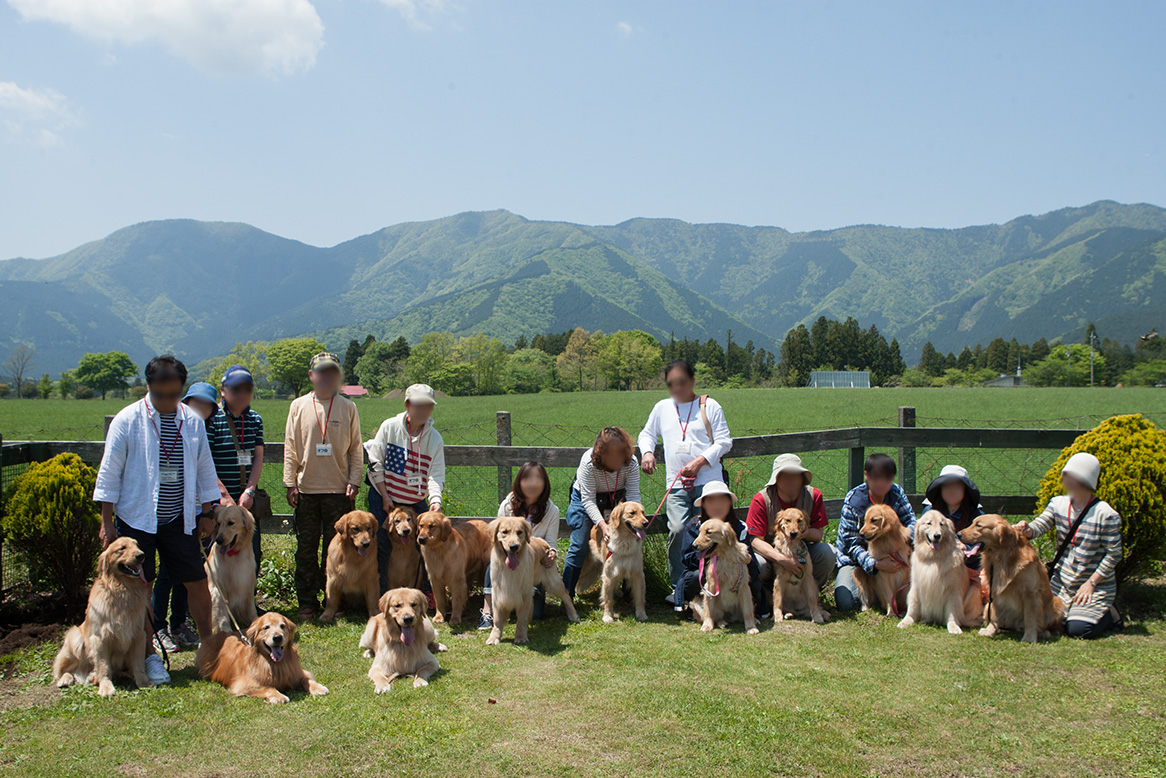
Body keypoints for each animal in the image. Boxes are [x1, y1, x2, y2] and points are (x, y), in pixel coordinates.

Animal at [54, 538, 152, 695]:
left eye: (137, 545)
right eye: (122, 548)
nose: (141, 555)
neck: (123, 590)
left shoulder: (138, 635)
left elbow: (138, 663)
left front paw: (143, 682)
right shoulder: (99, 638)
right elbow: (103, 666)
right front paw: (106, 687)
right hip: (76, 638)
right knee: (64, 670)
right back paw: (66, 679)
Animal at [197, 615, 328, 704]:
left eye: (282, 626)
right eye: (266, 627)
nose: (277, 637)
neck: (275, 664)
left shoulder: (297, 673)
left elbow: (306, 679)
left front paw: (318, 687)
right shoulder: (243, 685)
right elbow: (268, 687)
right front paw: (279, 696)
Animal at [206, 506, 258, 634]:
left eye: (230, 523)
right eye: (218, 523)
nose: (219, 540)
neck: (232, 555)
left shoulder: (246, 582)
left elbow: (251, 608)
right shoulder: (217, 586)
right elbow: (222, 612)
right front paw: (225, 630)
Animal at [956, 513, 1068, 643]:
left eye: (978, 525)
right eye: (972, 523)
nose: (958, 534)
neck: (1001, 555)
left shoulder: (1031, 594)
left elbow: (1030, 618)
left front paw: (1029, 637)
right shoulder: (995, 588)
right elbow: (994, 615)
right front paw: (990, 630)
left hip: (1056, 602)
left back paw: (1043, 632)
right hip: (987, 605)